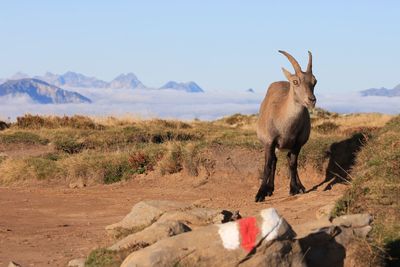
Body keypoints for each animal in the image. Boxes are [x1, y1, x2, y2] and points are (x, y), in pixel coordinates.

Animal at [255, 51, 318, 203]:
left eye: (315, 81)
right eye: (295, 81)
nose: (311, 100)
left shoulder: (297, 143)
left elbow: (293, 164)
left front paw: (294, 188)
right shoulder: (269, 142)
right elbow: (267, 165)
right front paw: (260, 193)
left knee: (289, 159)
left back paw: (300, 186)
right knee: (274, 161)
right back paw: (269, 189)